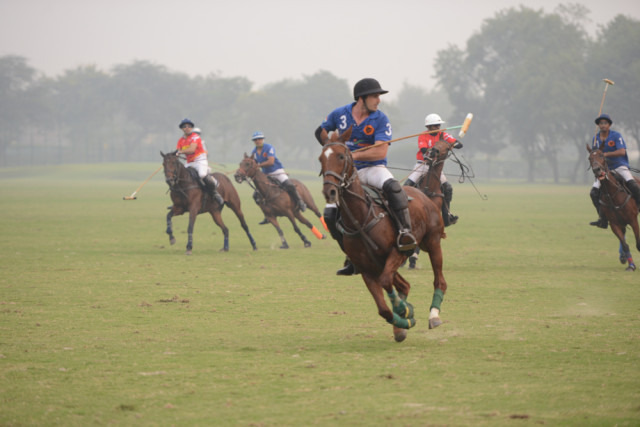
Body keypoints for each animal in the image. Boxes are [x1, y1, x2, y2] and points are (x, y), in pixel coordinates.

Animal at [318, 127, 448, 342]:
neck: (361, 218)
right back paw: (401, 326)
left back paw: (434, 315)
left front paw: (405, 311)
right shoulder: (367, 269)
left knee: (440, 280)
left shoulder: (397, 253)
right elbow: (383, 310)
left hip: (433, 242)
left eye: (341, 156)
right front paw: (403, 320)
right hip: (382, 263)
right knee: (404, 285)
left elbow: (387, 284)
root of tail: (425, 195)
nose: (330, 192)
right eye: (321, 158)